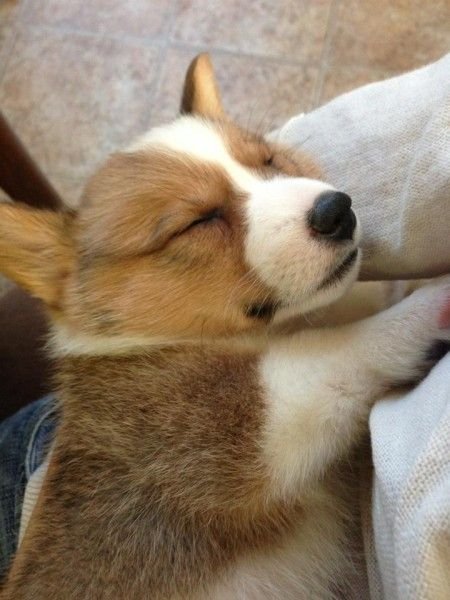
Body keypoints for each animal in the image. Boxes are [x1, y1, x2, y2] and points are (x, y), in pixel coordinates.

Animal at [0, 54, 450, 596]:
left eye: (270, 161)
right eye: (197, 222)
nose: (337, 210)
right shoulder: (247, 420)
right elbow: (347, 346)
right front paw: (432, 302)